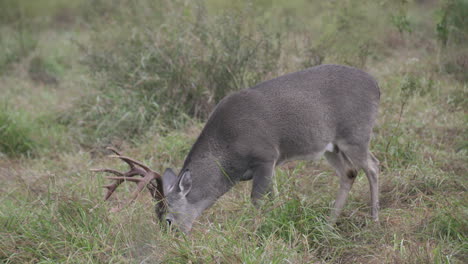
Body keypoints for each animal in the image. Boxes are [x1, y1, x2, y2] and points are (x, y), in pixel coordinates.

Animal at [91, 64, 380, 233]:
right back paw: (329, 224)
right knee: (349, 173)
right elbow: (273, 198)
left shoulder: (266, 156)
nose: (167, 240)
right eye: (155, 216)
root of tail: (376, 85)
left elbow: (257, 200)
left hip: (355, 133)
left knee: (373, 166)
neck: (228, 153)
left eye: (168, 220)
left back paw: (374, 219)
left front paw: (257, 232)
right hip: (330, 146)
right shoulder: (269, 165)